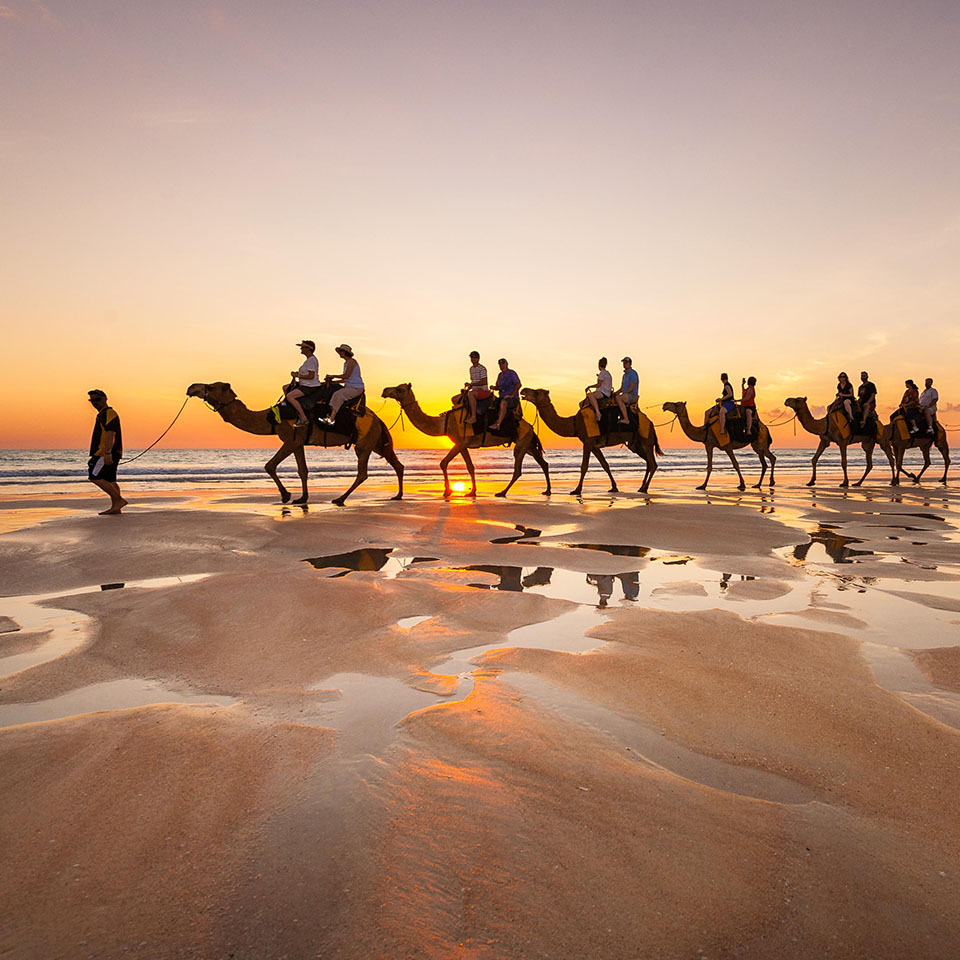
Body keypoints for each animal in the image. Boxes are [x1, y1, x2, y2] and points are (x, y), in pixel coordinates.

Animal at [188, 380, 402, 506]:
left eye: (212, 386)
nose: (191, 387)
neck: (271, 417)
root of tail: (378, 420)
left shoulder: (290, 439)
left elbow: (270, 465)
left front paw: (286, 495)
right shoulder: (299, 442)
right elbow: (302, 470)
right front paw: (302, 498)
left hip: (364, 443)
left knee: (363, 472)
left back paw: (340, 498)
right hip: (376, 441)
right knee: (396, 464)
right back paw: (398, 495)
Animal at [378, 380, 552, 498]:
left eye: (399, 389)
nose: (385, 390)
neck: (443, 423)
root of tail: (530, 427)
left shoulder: (460, 442)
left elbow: (443, 463)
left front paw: (447, 491)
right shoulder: (462, 444)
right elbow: (470, 466)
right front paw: (472, 491)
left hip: (522, 442)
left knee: (518, 469)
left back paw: (502, 492)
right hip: (527, 443)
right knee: (542, 462)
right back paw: (547, 490)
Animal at [516, 388, 660, 496]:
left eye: (536, 392)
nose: (523, 390)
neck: (575, 424)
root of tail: (651, 423)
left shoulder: (587, 441)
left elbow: (584, 466)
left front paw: (576, 490)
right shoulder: (594, 445)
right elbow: (605, 464)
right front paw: (614, 487)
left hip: (645, 439)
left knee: (652, 463)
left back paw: (645, 488)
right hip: (635, 444)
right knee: (648, 462)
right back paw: (641, 487)